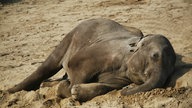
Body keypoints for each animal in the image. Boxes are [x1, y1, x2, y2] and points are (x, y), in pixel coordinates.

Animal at [7, 18, 176, 101]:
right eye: (154, 56)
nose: (126, 90)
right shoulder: (102, 52)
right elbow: (74, 64)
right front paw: (70, 90)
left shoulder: (121, 75)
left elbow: (107, 86)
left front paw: (76, 92)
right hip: (71, 37)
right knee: (49, 65)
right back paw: (10, 91)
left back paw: (45, 85)